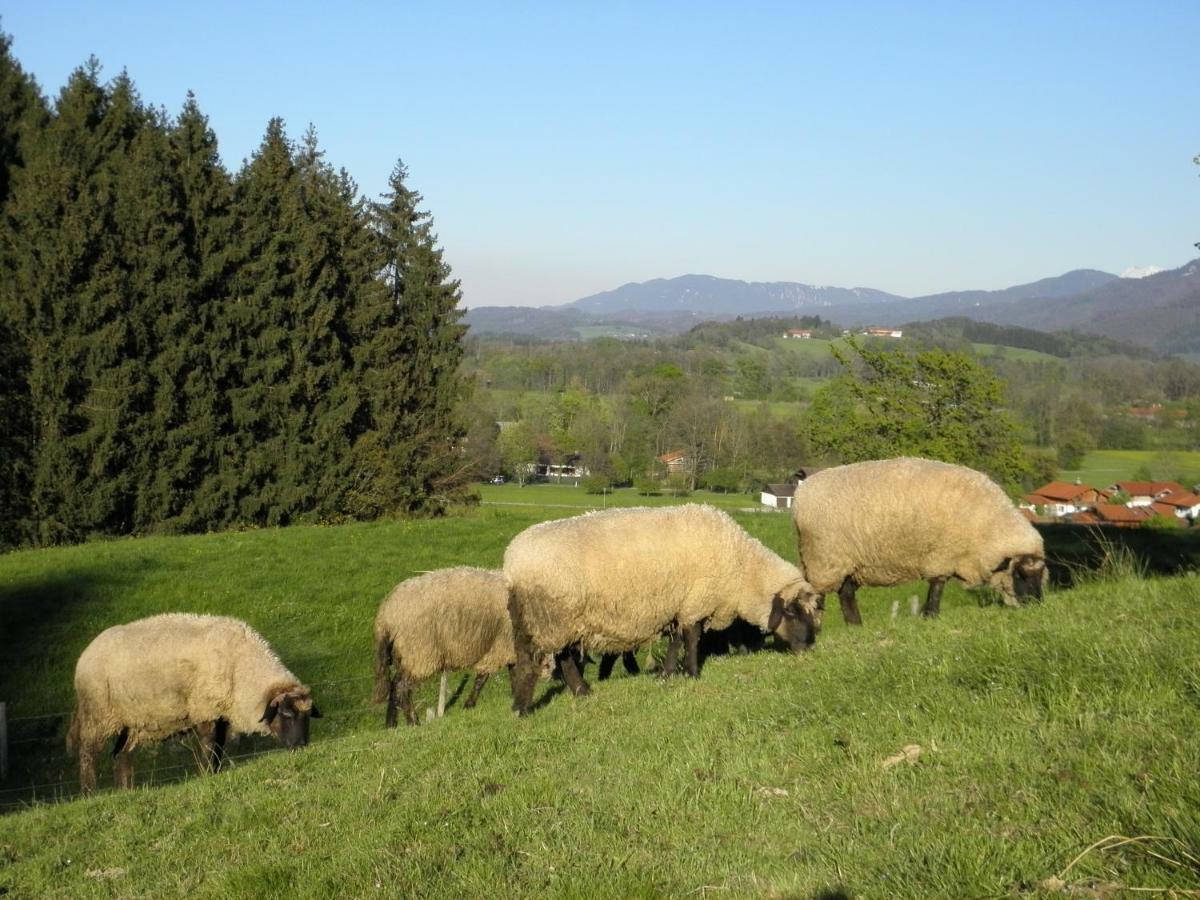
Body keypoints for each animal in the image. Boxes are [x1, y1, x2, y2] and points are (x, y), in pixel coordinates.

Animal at [65, 614, 319, 796]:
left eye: (307, 717)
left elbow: (219, 747)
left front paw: (214, 772)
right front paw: (206, 775)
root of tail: (83, 657)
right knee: (88, 753)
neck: (241, 669)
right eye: (286, 714)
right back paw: (89, 793)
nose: (301, 746)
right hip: (97, 712)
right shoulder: (204, 709)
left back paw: (125, 792)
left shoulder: (221, 714)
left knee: (121, 755)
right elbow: (208, 745)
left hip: (133, 720)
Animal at [369, 566, 511, 729]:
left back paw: (391, 725)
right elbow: (483, 678)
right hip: (419, 651)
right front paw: (469, 705)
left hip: (405, 653)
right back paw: (413, 722)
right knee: (401, 687)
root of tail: (385, 614)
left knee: (394, 685)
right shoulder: (503, 644)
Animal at [501, 504, 820, 715]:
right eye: (792, 612)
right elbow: (692, 638)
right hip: (546, 617)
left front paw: (666, 674)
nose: (807, 648)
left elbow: (676, 640)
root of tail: (511, 565)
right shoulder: (695, 601)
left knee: (562, 656)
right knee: (531, 662)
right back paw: (523, 708)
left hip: (555, 620)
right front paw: (691, 672)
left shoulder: (678, 604)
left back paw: (581, 691)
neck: (743, 571)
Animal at [792, 458, 1046, 628]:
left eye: (1040, 574)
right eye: (1020, 574)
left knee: (845, 592)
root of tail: (801, 496)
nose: (1037, 605)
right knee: (820, 594)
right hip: (824, 557)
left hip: (848, 561)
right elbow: (937, 585)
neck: (986, 528)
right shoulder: (943, 554)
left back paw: (856, 626)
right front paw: (931, 616)